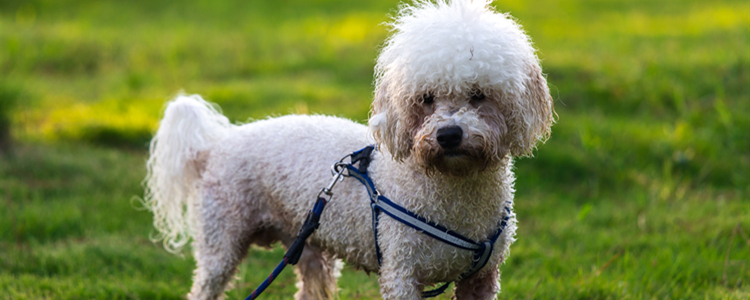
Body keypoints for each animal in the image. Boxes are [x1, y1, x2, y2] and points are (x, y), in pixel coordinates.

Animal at [145, 1, 552, 298]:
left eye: (479, 96)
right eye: (425, 99)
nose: (449, 135)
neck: (452, 190)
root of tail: (217, 144)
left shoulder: (481, 279)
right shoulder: (401, 273)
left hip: (308, 245)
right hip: (221, 243)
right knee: (205, 286)